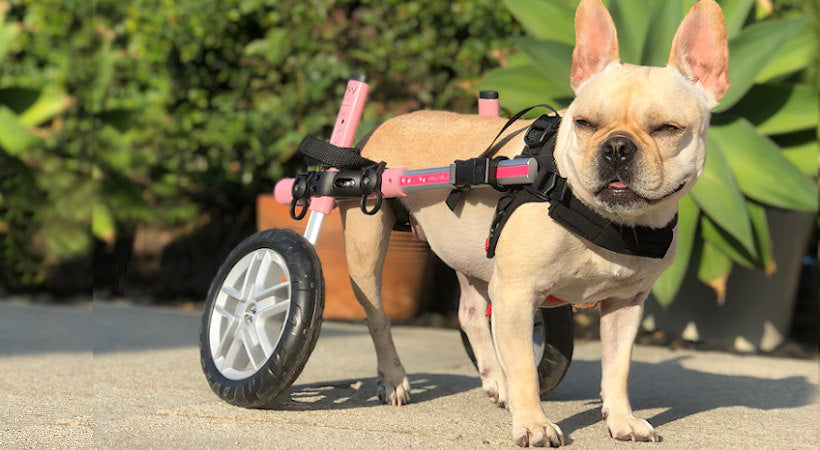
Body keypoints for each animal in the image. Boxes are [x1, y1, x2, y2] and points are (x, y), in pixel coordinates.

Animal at [336, 0, 728, 442]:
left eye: (667, 129)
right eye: (584, 123)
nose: (616, 147)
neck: (600, 217)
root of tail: (386, 124)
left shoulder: (625, 305)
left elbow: (617, 367)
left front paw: (622, 419)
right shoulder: (516, 294)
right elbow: (525, 366)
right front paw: (534, 423)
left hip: (472, 256)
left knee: (471, 314)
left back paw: (495, 380)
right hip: (368, 244)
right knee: (377, 315)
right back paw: (394, 379)